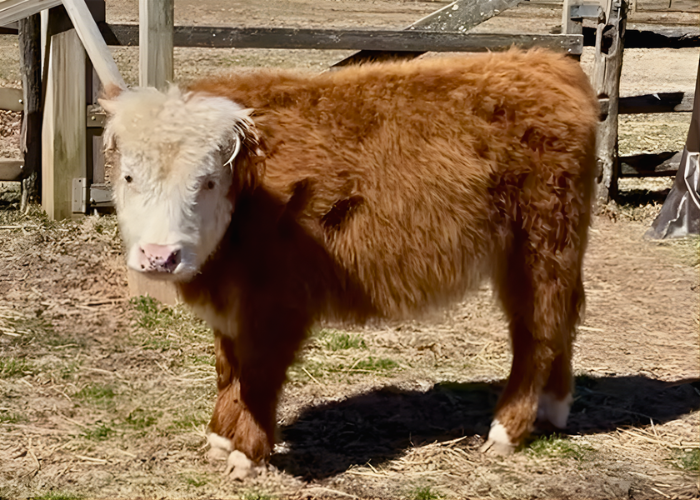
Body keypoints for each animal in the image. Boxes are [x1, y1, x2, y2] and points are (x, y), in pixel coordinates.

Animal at [100, 48, 599, 478]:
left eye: (205, 181)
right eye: (129, 176)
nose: (159, 256)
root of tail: (544, 62)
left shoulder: (277, 302)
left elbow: (258, 374)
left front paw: (246, 454)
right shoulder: (232, 305)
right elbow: (229, 369)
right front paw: (220, 438)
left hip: (540, 249)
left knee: (536, 332)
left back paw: (507, 431)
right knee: (560, 320)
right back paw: (553, 409)